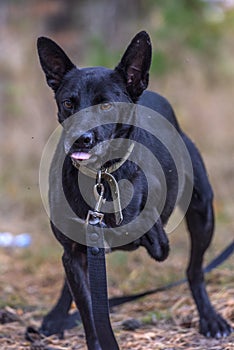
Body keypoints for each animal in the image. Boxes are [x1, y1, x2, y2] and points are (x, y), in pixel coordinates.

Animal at [37, 31, 232, 348]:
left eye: (105, 105)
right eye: (68, 103)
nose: (80, 138)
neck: (102, 176)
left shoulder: (155, 235)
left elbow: (153, 236)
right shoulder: (77, 250)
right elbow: (90, 312)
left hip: (203, 211)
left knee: (194, 270)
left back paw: (211, 319)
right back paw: (56, 316)